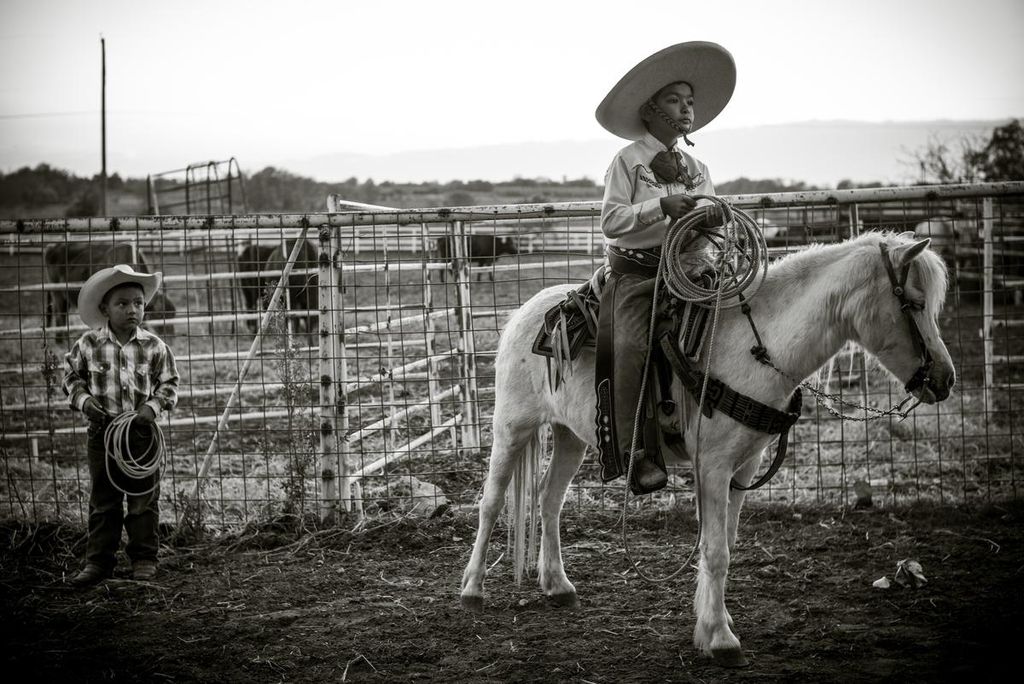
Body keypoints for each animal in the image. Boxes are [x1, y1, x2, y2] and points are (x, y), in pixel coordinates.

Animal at [460, 229, 954, 667]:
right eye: (913, 303)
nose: (945, 380)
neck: (757, 344)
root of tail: (527, 312)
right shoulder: (712, 467)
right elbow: (716, 550)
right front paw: (719, 638)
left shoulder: (745, 466)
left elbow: (725, 544)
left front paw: (715, 621)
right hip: (512, 427)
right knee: (491, 502)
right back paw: (472, 589)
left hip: (570, 436)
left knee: (548, 499)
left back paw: (557, 584)